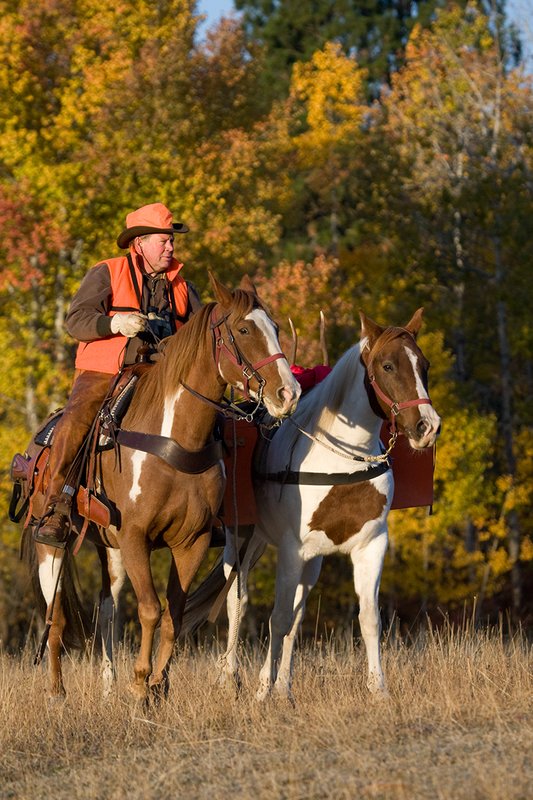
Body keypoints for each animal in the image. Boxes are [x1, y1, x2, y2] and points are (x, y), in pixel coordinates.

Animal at [20, 273, 301, 700]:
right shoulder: (136, 536)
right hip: (51, 543)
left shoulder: (191, 542)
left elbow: (174, 613)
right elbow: (151, 609)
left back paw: (107, 687)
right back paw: (57, 691)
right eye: (243, 329)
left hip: (108, 546)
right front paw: (140, 681)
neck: (175, 437)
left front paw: (157, 684)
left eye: (276, 329)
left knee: (107, 607)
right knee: (57, 618)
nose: (288, 394)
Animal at [182, 308, 441, 702]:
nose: (427, 426)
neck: (342, 460)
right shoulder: (292, 549)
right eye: (387, 365)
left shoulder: (370, 545)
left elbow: (367, 618)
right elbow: (277, 618)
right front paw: (262, 691)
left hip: (306, 559)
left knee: (297, 614)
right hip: (240, 540)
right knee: (237, 601)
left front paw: (378, 690)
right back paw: (231, 677)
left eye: (423, 365)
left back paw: (285, 688)